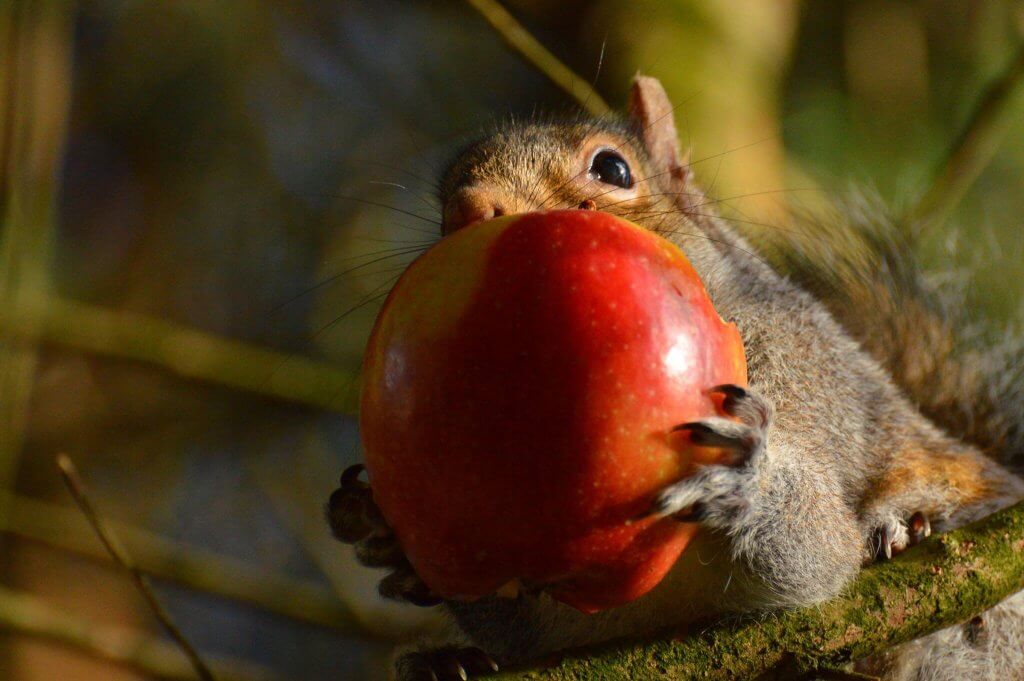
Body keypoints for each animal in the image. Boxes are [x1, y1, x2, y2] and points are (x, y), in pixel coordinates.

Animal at [325, 76, 1024, 675]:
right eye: (443, 202)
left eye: (612, 169)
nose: (470, 207)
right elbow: (520, 615)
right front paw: (383, 530)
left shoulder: (806, 381)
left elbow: (822, 554)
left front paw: (746, 476)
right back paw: (444, 662)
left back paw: (910, 531)